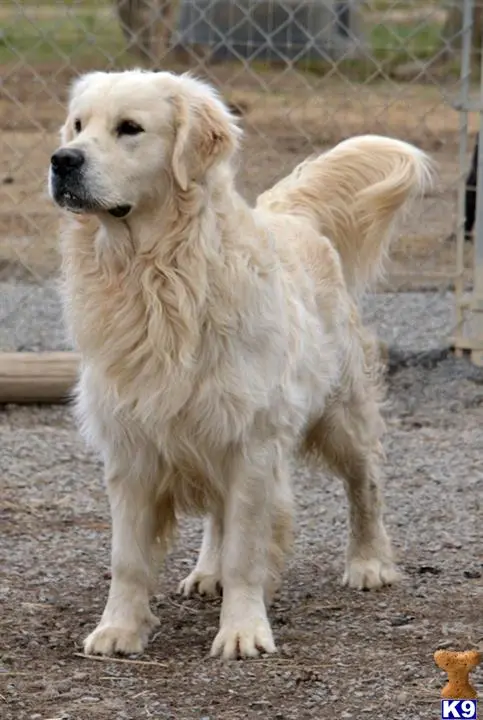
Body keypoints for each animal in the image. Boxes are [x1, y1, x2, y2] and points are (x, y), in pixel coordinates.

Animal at [49, 70, 434, 660]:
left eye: (129, 128)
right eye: (77, 125)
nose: (61, 160)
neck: (157, 277)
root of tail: (289, 214)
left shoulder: (251, 441)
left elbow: (245, 552)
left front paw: (243, 630)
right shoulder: (132, 442)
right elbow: (128, 558)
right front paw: (119, 629)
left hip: (341, 413)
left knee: (364, 483)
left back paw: (369, 562)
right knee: (217, 512)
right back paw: (207, 572)